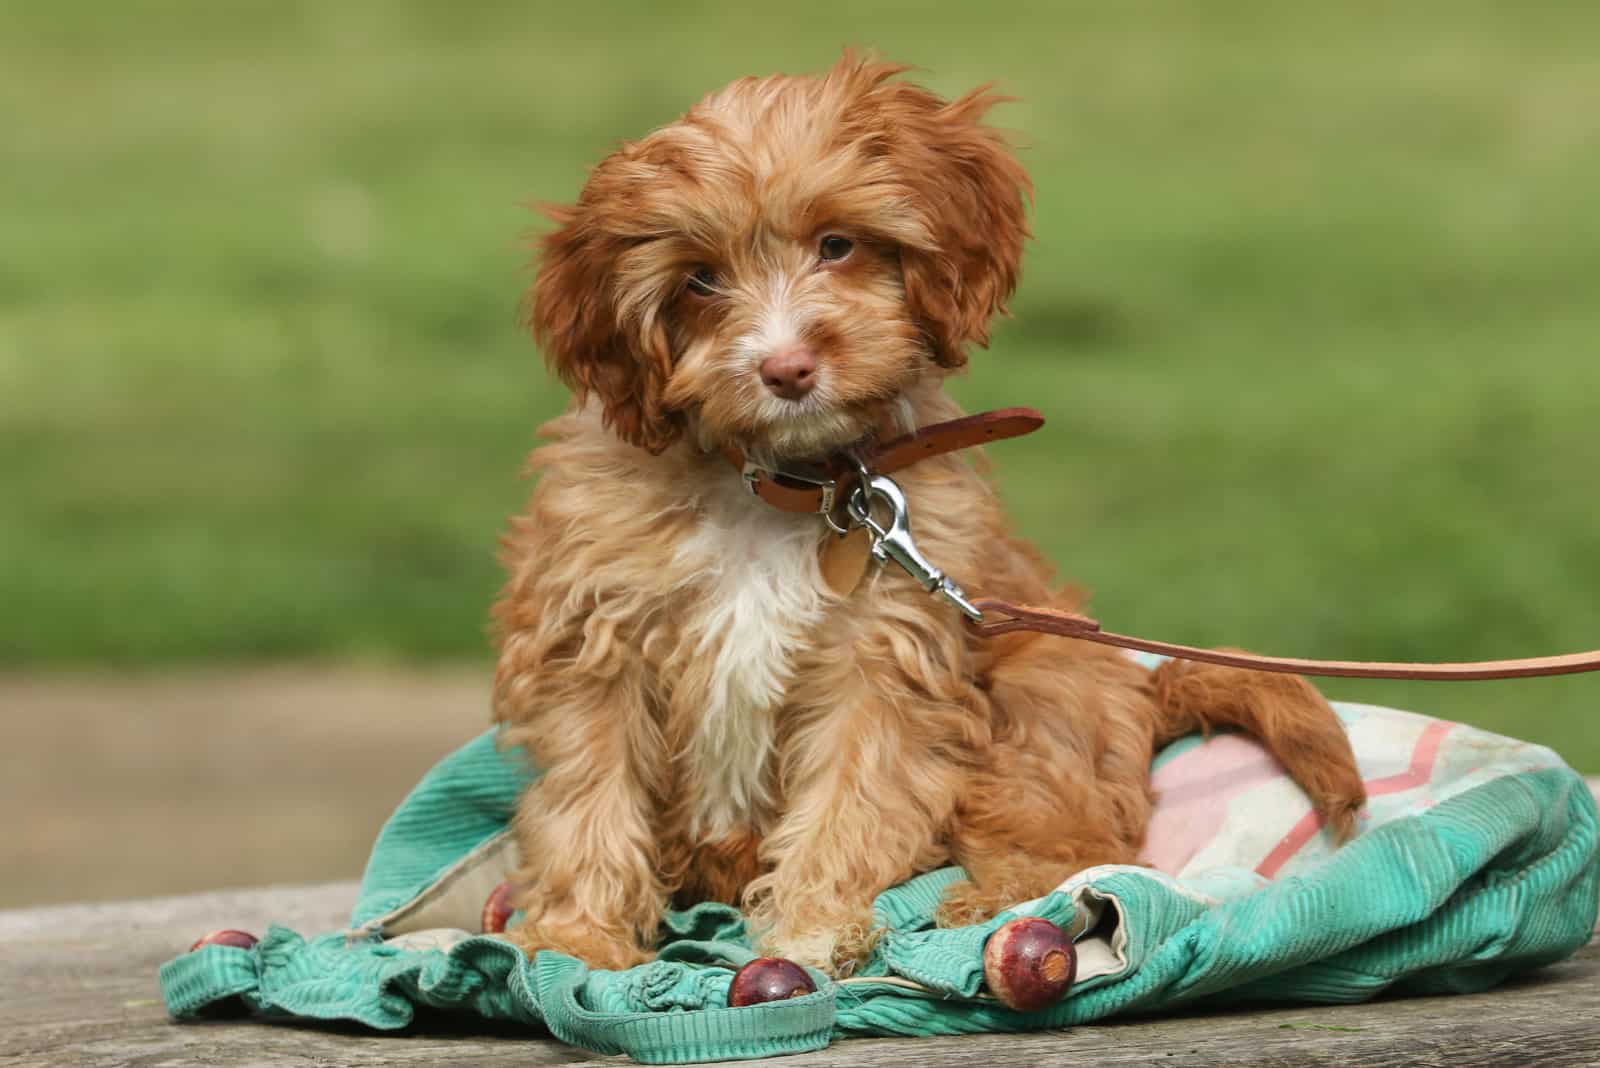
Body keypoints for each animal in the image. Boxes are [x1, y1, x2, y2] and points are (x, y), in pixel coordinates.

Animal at [489, 56, 1363, 978]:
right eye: (700, 279)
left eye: (837, 244)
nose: (786, 368)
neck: (782, 483)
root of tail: (1143, 684)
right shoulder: (595, 637)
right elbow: (590, 791)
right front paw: (575, 935)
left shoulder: (883, 658)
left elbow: (853, 794)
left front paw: (811, 925)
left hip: (1042, 692)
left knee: (1071, 834)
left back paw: (1001, 901)